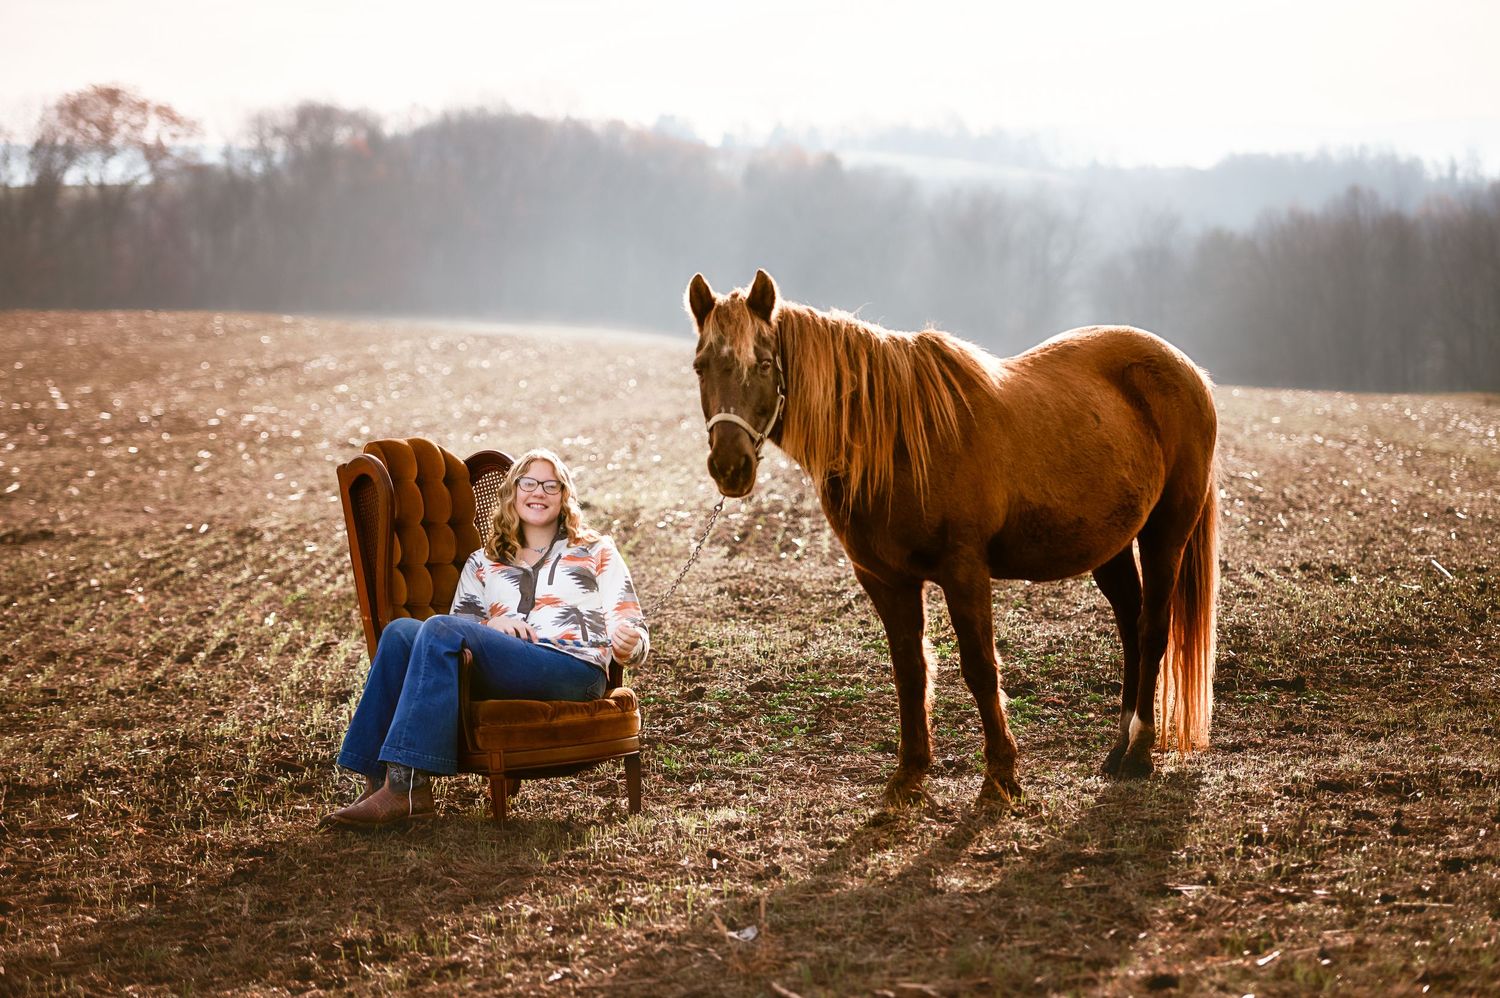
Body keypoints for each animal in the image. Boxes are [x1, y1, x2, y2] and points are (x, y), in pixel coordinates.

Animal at [686, 269, 1219, 806]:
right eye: (700, 366)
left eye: (765, 363)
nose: (729, 467)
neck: (896, 442)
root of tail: (1189, 371)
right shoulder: (885, 579)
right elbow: (910, 671)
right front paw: (909, 773)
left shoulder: (964, 572)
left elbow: (980, 667)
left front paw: (1002, 773)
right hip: (1110, 544)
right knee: (1130, 624)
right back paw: (1117, 748)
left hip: (1166, 533)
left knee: (1153, 628)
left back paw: (1140, 753)